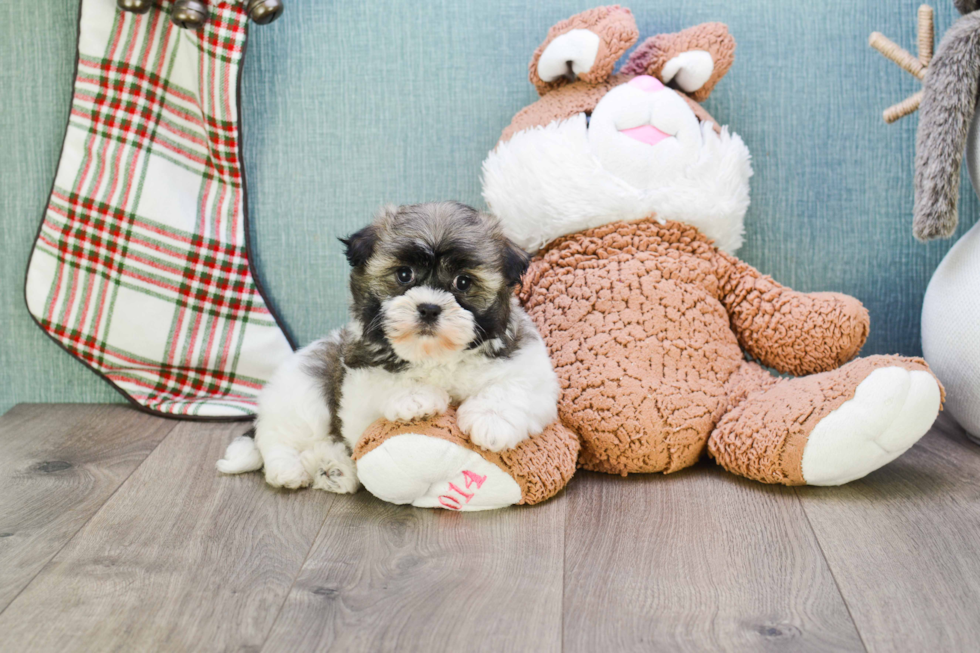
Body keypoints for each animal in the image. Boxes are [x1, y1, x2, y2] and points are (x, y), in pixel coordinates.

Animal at [219, 201, 564, 492]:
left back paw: (334, 470)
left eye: (463, 282)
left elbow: (516, 386)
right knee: (279, 436)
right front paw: (416, 397)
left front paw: (491, 420)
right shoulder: (359, 379)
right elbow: (382, 385)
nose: (429, 308)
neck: (436, 357)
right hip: (303, 392)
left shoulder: (527, 363)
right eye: (404, 274)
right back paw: (290, 469)